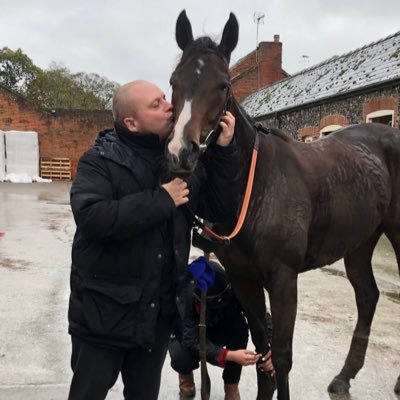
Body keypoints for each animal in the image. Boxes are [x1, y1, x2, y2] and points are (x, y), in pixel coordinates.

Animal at [167, 10, 400, 400]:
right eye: (174, 81)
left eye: (223, 85)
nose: (181, 153)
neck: (255, 185)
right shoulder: (243, 278)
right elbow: (263, 349)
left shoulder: (283, 278)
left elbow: (282, 355)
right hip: (360, 241)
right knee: (367, 296)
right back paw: (343, 377)